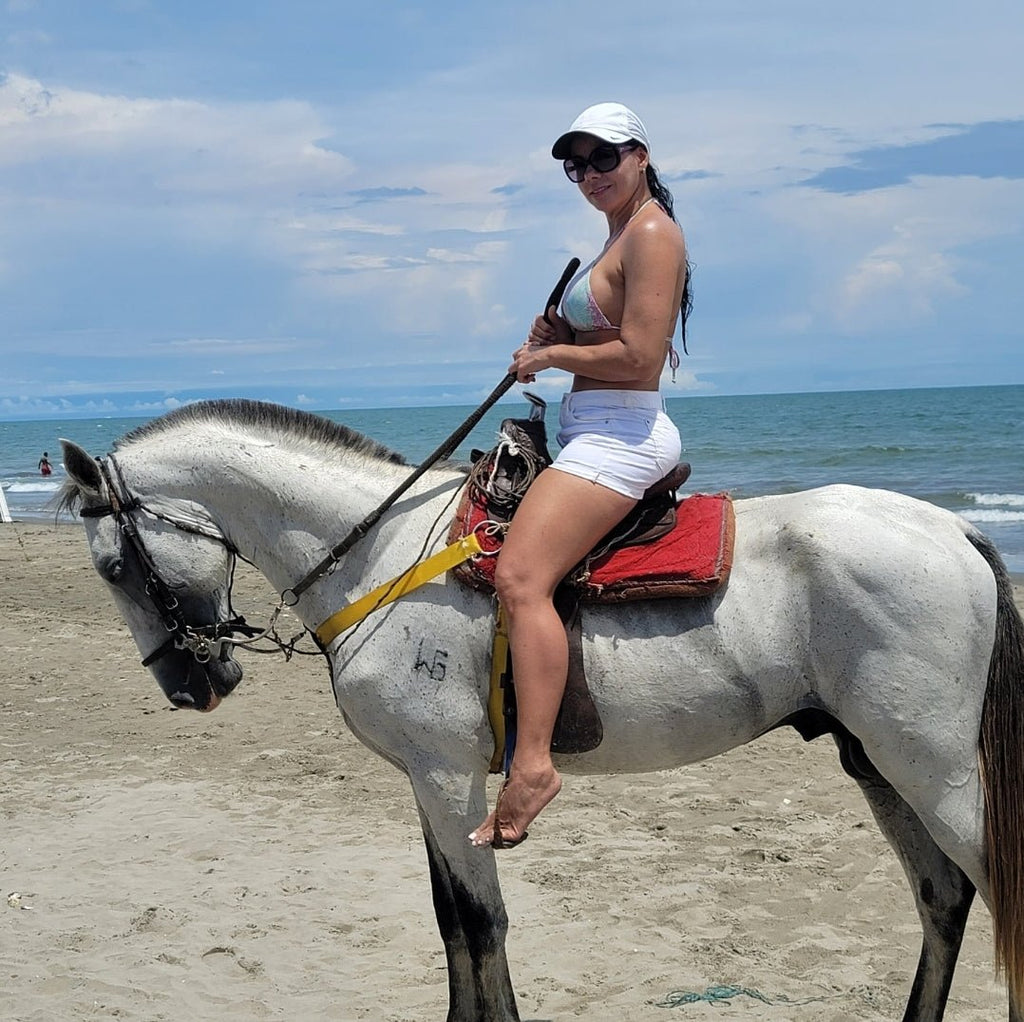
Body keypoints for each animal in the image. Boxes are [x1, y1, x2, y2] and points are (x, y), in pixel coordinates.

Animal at [58, 397, 1024, 1022]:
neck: (381, 551)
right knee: (942, 897)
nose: (191, 685)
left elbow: (481, 921)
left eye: (115, 565)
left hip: (928, 767)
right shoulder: (427, 779)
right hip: (878, 762)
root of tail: (953, 530)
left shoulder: (447, 774)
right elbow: (450, 918)